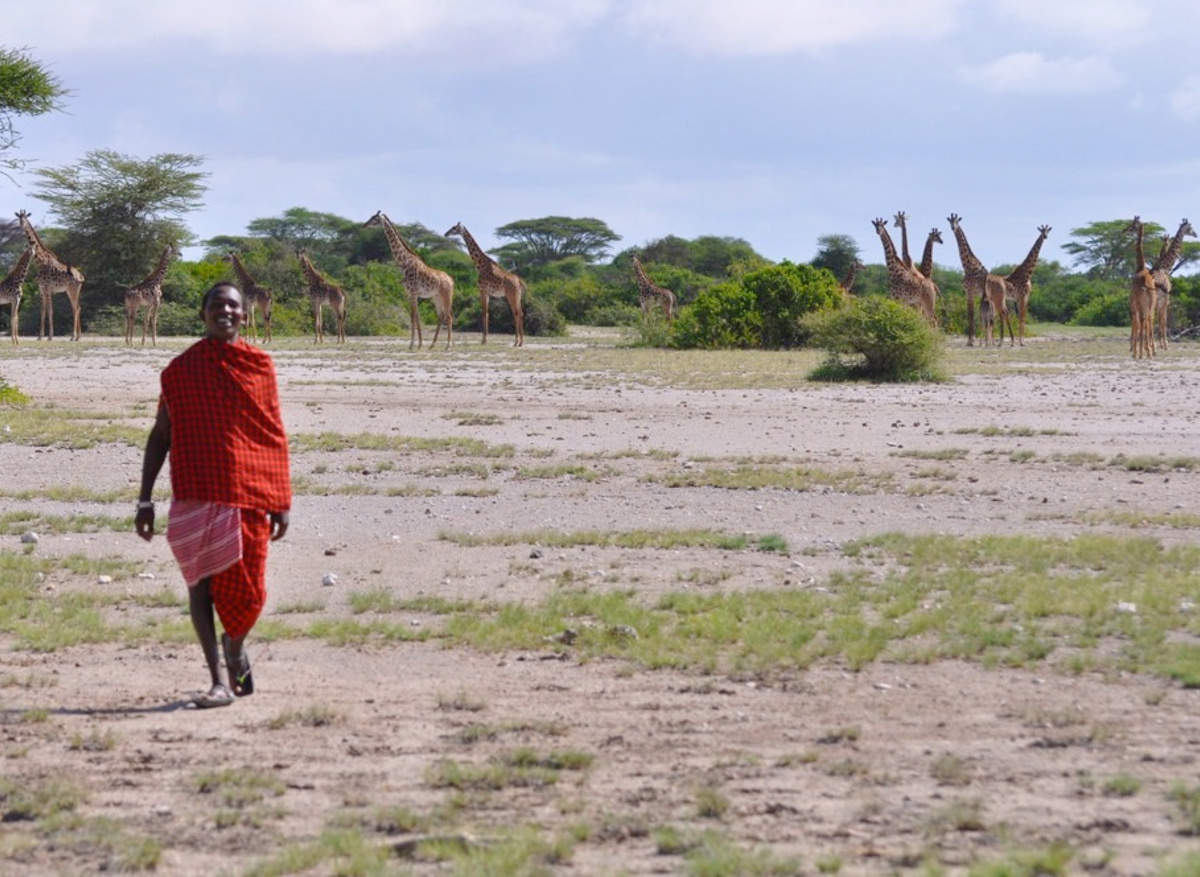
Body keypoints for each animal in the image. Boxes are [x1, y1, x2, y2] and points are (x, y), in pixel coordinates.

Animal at [15, 210, 85, 341]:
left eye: (26, 218)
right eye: (19, 218)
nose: (21, 224)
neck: (40, 261)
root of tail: (81, 276)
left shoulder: (47, 289)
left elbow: (50, 310)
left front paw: (50, 336)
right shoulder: (42, 289)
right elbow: (43, 311)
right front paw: (40, 336)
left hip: (72, 289)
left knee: (75, 308)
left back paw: (73, 336)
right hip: (74, 290)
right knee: (78, 307)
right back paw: (78, 336)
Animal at [364, 211, 454, 350]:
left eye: (374, 219)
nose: (364, 225)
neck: (404, 263)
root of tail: (450, 280)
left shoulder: (412, 293)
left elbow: (412, 317)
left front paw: (412, 344)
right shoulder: (411, 294)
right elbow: (416, 317)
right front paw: (420, 344)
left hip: (446, 295)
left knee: (449, 317)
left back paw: (448, 345)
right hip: (436, 297)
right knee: (441, 316)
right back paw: (432, 345)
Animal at [1149, 218, 1196, 349]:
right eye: (1190, 228)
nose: (1196, 234)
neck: (1165, 267)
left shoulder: (1162, 299)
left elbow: (1160, 320)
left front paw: (1161, 343)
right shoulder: (1166, 297)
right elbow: (1164, 320)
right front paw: (1165, 344)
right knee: (1150, 317)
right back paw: (1151, 344)